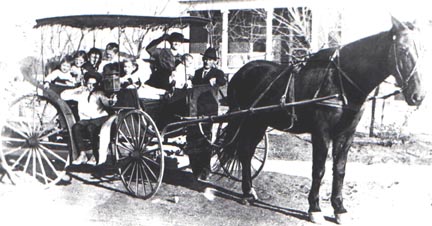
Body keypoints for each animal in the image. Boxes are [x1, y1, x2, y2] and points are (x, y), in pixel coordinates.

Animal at [219, 16, 426, 223]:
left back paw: (250, 192)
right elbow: (319, 169)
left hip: (259, 123)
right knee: (244, 151)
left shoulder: (346, 134)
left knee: (247, 152)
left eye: (423, 49)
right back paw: (247, 194)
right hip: (246, 121)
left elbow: (340, 170)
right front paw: (315, 209)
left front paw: (339, 209)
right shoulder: (322, 132)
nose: (418, 96)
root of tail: (241, 72)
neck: (340, 81)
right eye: (403, 49)